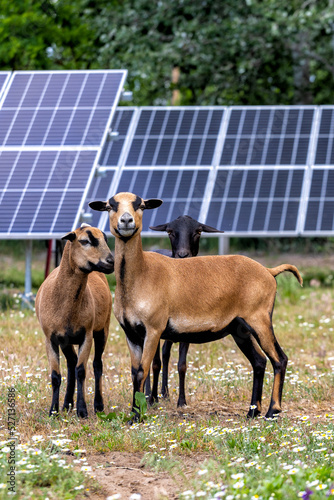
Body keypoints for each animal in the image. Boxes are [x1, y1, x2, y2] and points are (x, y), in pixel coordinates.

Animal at [35, 225, 113, 416]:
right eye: (84, 241)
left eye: (105, 240)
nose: (111, 261)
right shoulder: (51, 339)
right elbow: (56, 376)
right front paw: (53, 411)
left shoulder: (87, 335)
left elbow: (81, 371)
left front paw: (82, 410)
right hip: (66, 340)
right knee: (71, 363)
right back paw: (66, 404)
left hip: (103, 330)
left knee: (97, 364)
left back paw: (98, 405)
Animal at [147, 215, 223, 406]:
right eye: (169, 231)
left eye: (198, 232)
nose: (183, 255)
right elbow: (154, 363)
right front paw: (151, 399)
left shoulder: (187, 328)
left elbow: (181, 365)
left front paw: (182, 401)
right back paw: (149, 394)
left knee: (166, 353)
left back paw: (165, 393)